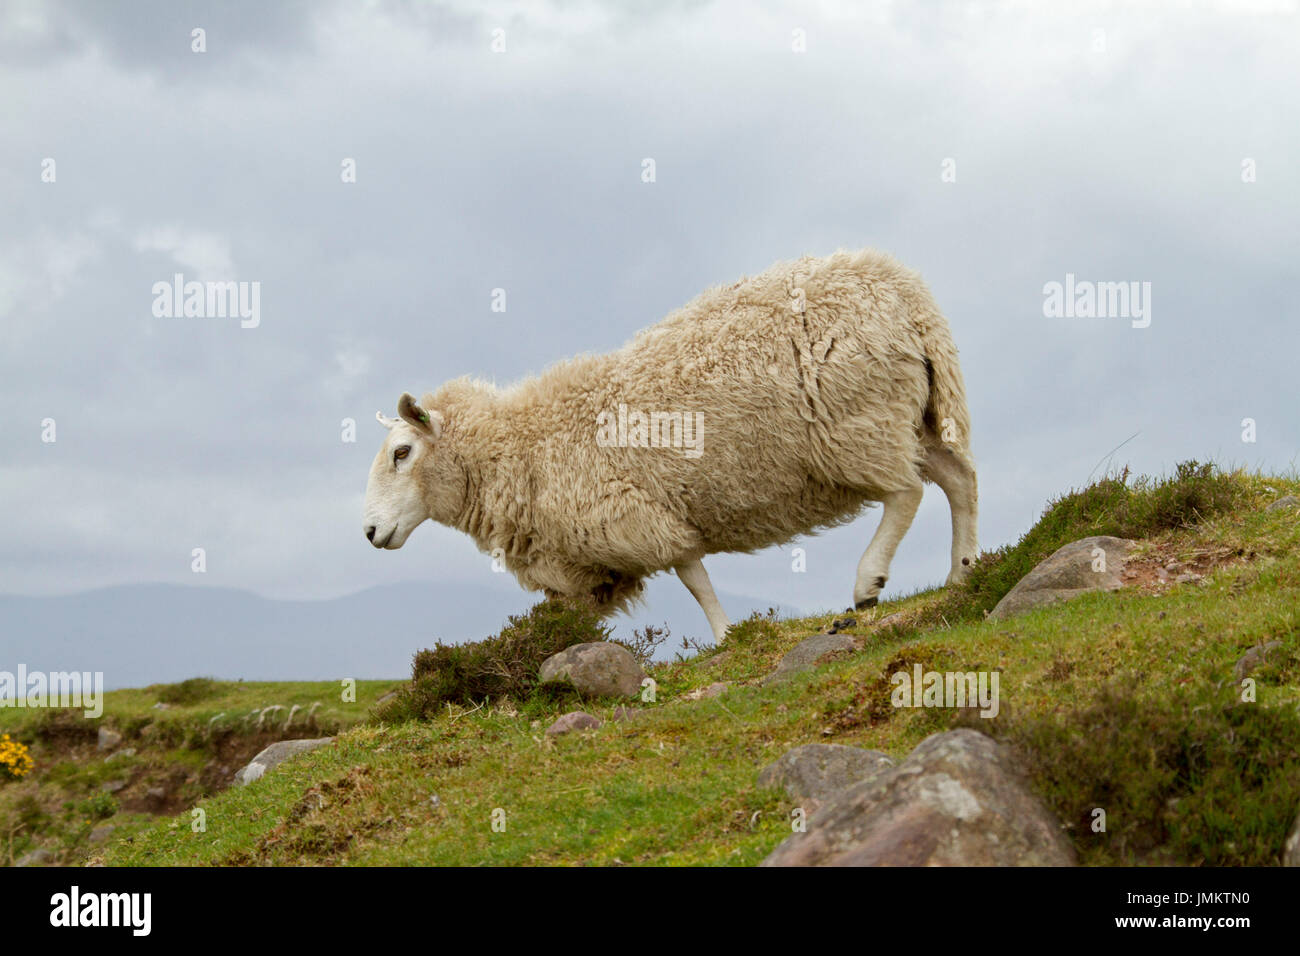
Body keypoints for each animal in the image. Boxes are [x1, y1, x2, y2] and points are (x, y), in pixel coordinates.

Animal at [363, 248, 978, 644]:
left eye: (401, 453)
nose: (369, 532)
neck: (524, 449)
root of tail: (904, 290)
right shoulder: (596, 556)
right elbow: (576, 620)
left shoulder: (638, 515)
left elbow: (693, 578)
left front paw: (726, 636)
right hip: (917, 413)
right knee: (959, 480)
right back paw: (964, 571)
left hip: (859, 422)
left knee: (906, 493)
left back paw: (868, 581)